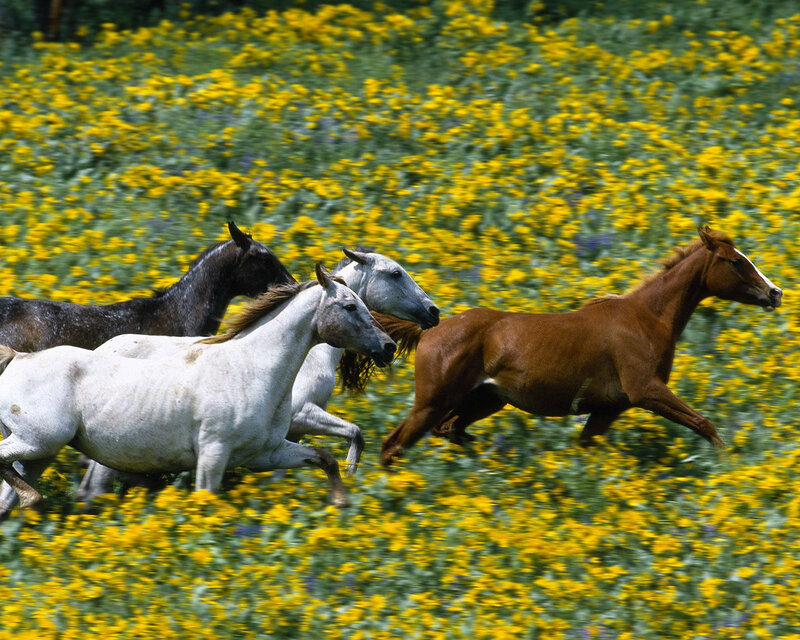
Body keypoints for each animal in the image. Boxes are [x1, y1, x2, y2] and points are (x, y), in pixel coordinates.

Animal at [0, 264, 396, 511]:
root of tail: (16, 359)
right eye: (349, 306)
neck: (250, 369)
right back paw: (34, 500)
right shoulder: (213, 454)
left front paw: (342, 502)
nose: (388, 346)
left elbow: (324, 457)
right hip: (39, 442)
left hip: (40, 453)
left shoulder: (265, 453)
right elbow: (206, 500)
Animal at [73, 248, 439, 507]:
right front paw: (348, 476)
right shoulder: (302, 414)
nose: (433, 311)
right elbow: (354, 433)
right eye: (395, 273)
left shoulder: (283, 436)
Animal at [378, 227, 783, 465]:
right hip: (433, 401)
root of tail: (431, 329)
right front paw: (728, 464)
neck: (645, 319)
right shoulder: (646, 391)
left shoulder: (608, 408)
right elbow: (705, 424)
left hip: (485, 400)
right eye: (736, 262)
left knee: (451, 431)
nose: (775, 293)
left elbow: (586, 447)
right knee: (394, 443)